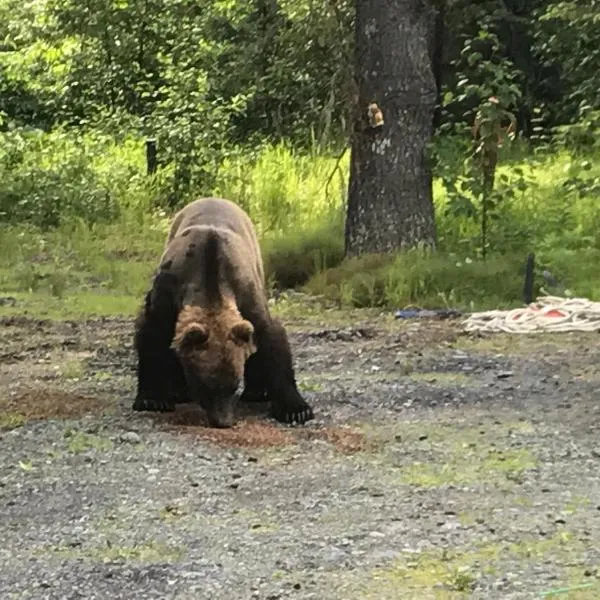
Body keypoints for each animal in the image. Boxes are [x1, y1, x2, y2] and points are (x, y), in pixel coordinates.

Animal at [132, 199, 314, 428]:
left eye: (234, 385)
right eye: (205, 388)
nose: (223, 421)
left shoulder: (246, 293)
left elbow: (271, 338)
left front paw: (296, 410)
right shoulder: (167, 289)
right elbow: (152, 334)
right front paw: (153, 398)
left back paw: (257, 392)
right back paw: (178, 392)